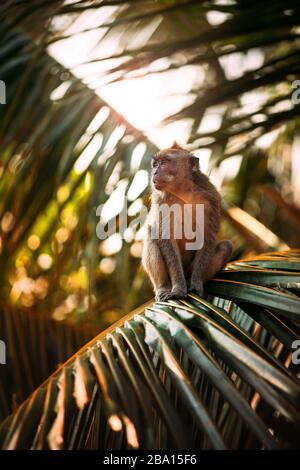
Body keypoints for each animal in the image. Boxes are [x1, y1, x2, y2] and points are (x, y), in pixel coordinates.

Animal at [142, 141, 232, 302]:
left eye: (164, 163)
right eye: (155, 164)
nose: (154, 173)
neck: (182, 192)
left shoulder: (211, 198)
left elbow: (206, 237)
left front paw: (195, 283)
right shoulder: (161, 200)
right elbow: (166, 239)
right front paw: (178, 289)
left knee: (225, 247)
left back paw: (191, 280)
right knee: (151, 235)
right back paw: (163, 287)